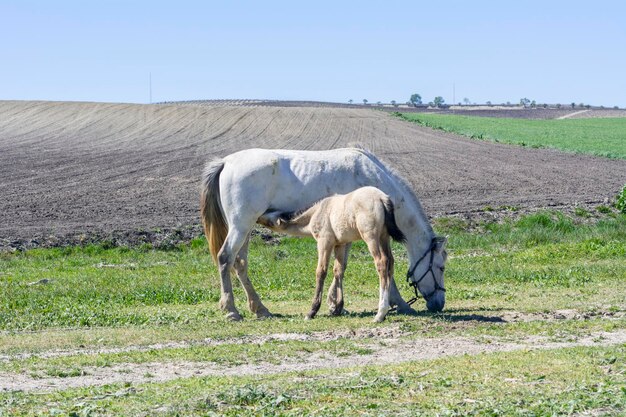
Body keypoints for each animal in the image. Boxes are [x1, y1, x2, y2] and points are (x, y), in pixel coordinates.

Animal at [258, 186, 414, 322]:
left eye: (268, 215)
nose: (258, 215)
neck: (317, 212)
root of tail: (382, 198)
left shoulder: (324, 242)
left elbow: (321, 272)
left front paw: (312, 311)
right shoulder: (340, 244)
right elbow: (338, 270)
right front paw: (337, 308)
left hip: (371, 238)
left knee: (381, 263)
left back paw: (380, 314)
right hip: (384, 237)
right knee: (390, 262)